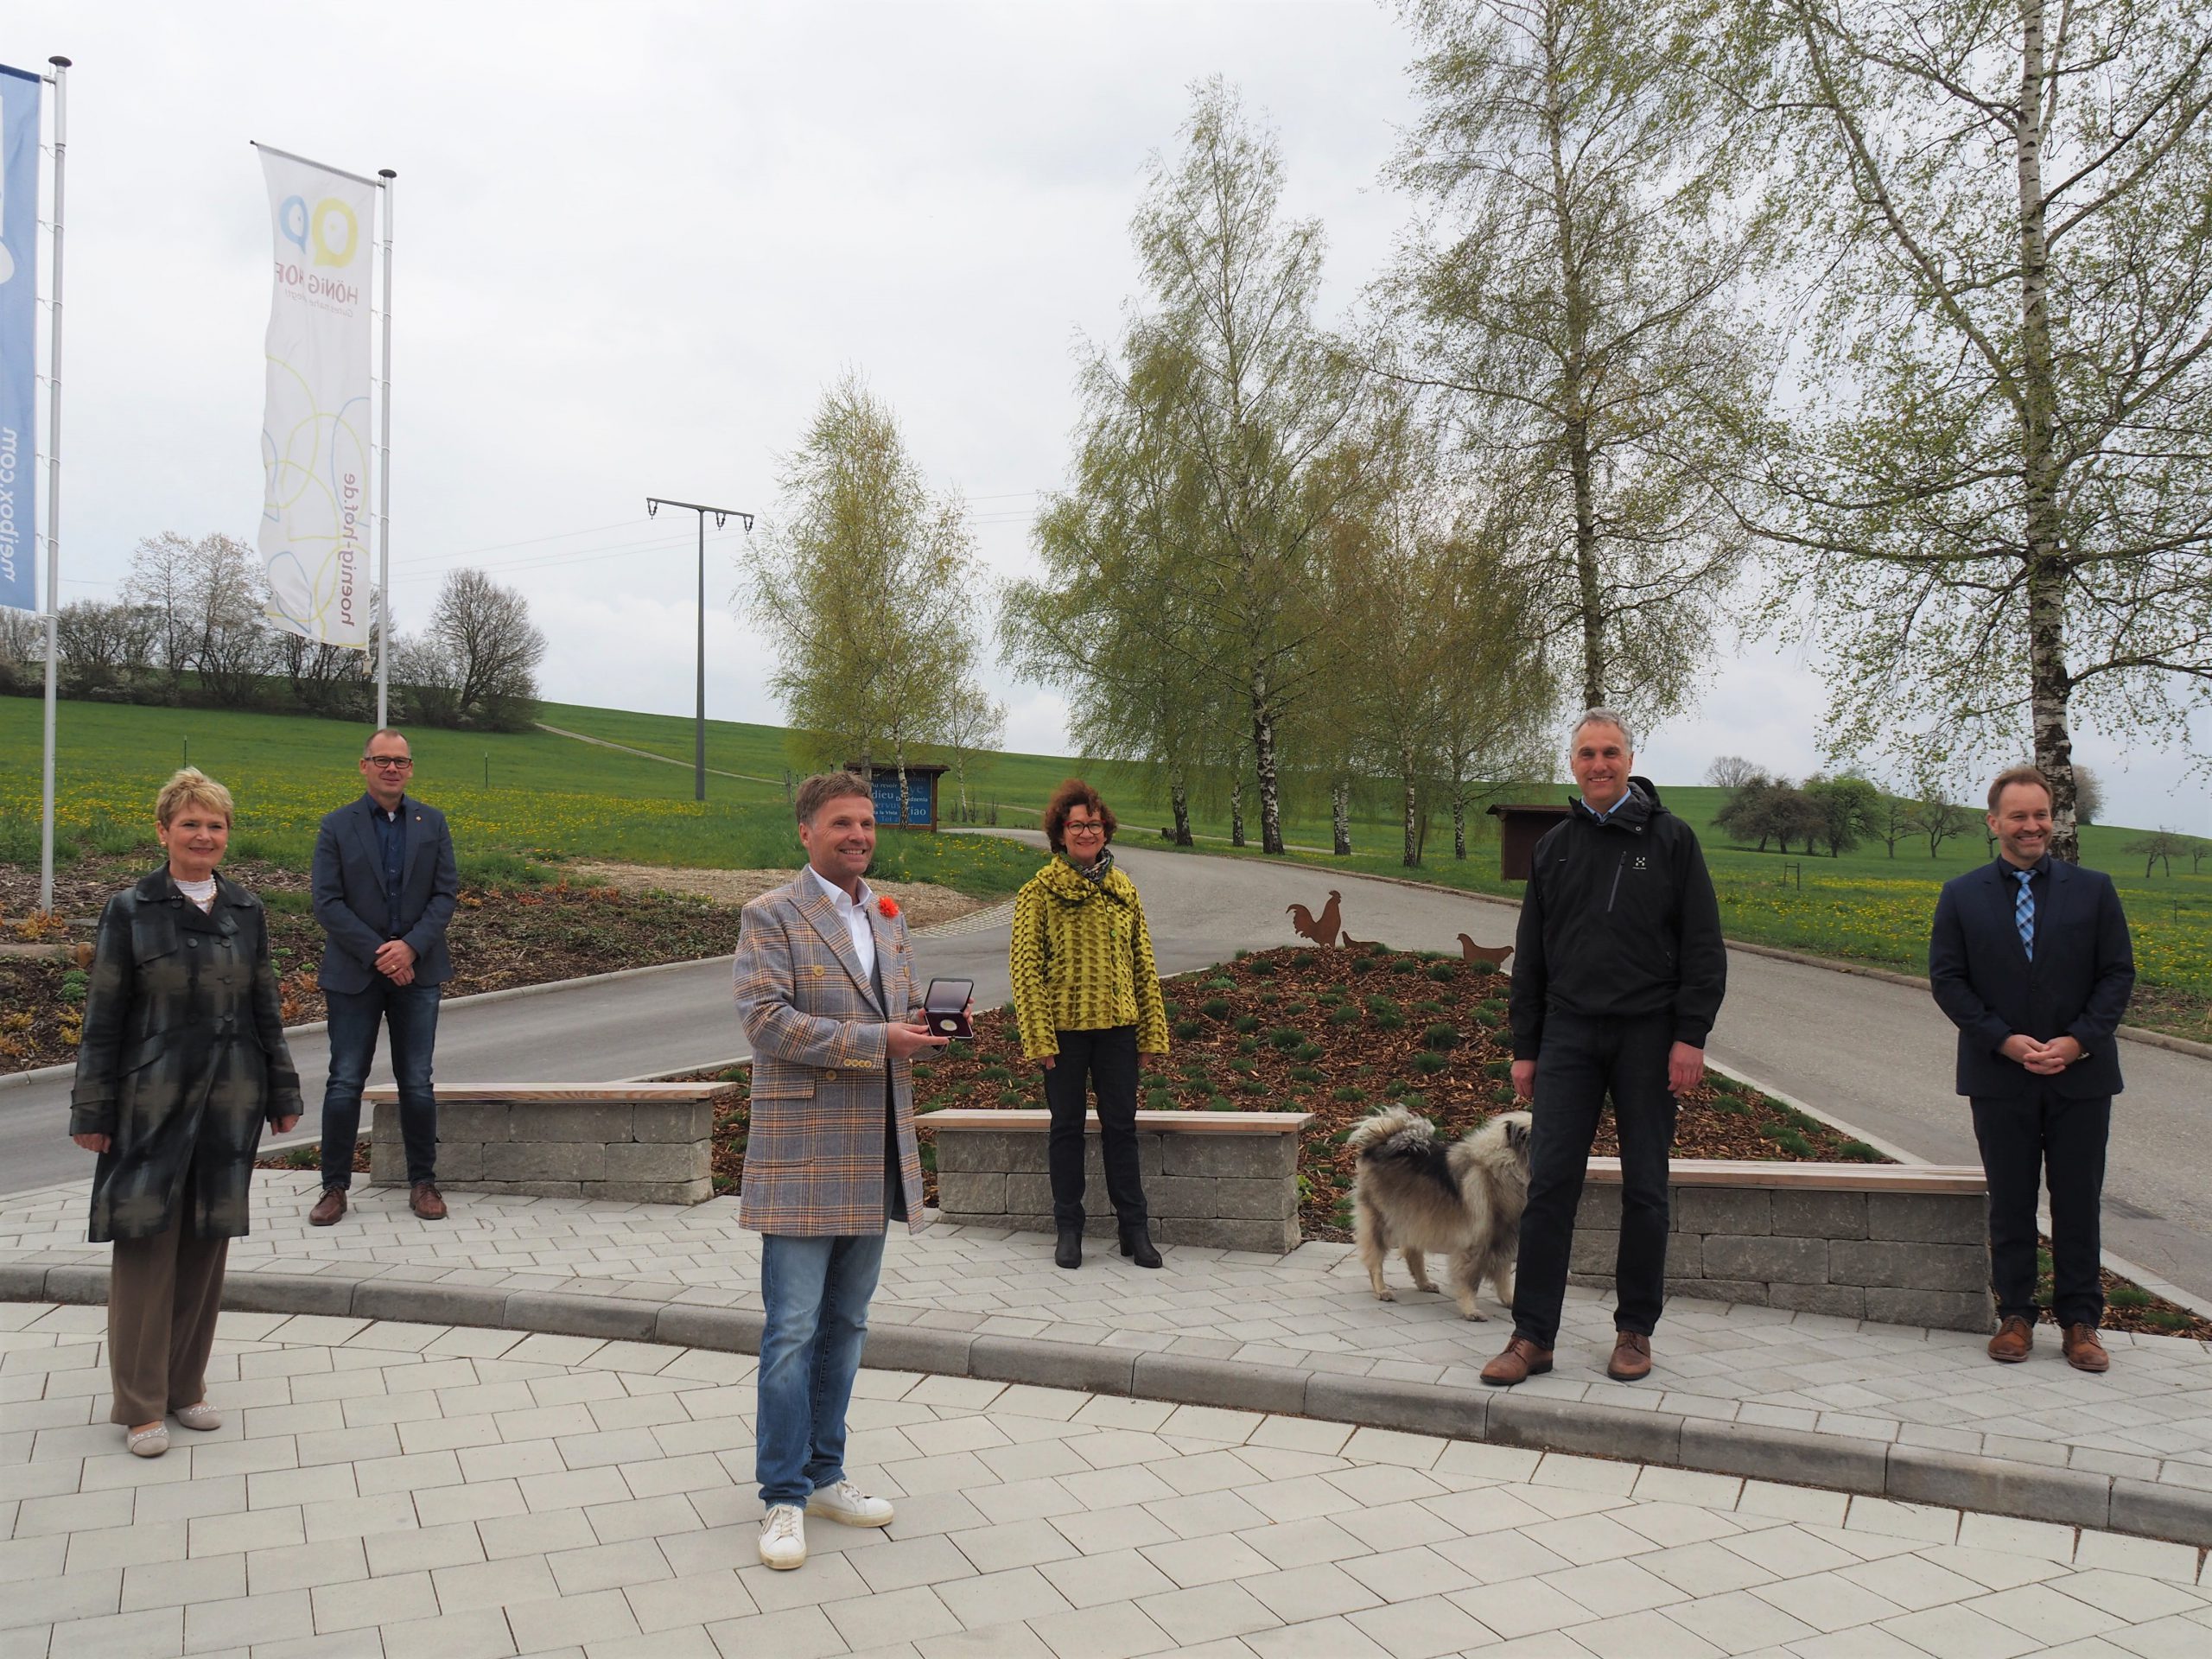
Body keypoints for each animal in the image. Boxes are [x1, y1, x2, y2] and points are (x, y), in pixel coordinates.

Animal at [1336, 1110, 1530, 1336]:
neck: (1505, 1164)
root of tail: (1381, 1141)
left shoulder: (1502, 1238)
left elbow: (1503, 1277)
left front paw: (1509, 1301)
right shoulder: (1476, 1245)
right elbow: (1470, 1282)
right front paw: (1470, 1310)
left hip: (1415, 1217)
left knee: (1412, 1253)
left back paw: (1424, 1283)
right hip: (1382, 1220)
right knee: (1375, 1258)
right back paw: (1381, 1289)